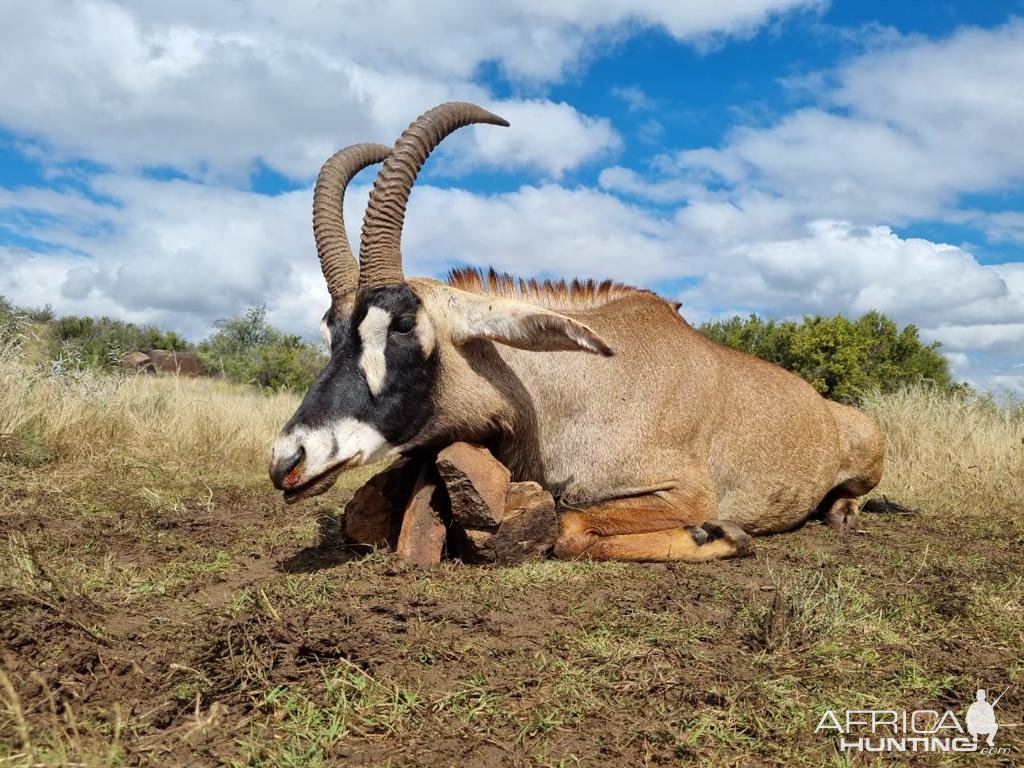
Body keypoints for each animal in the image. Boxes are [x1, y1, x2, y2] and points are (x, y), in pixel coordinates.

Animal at [268, 100, 884, 565]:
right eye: (330, 333)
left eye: (401, 324)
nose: (287, 461)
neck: (565, 393)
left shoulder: (686, 492)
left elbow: (566, 527)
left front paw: (722, 535)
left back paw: (840, 514)